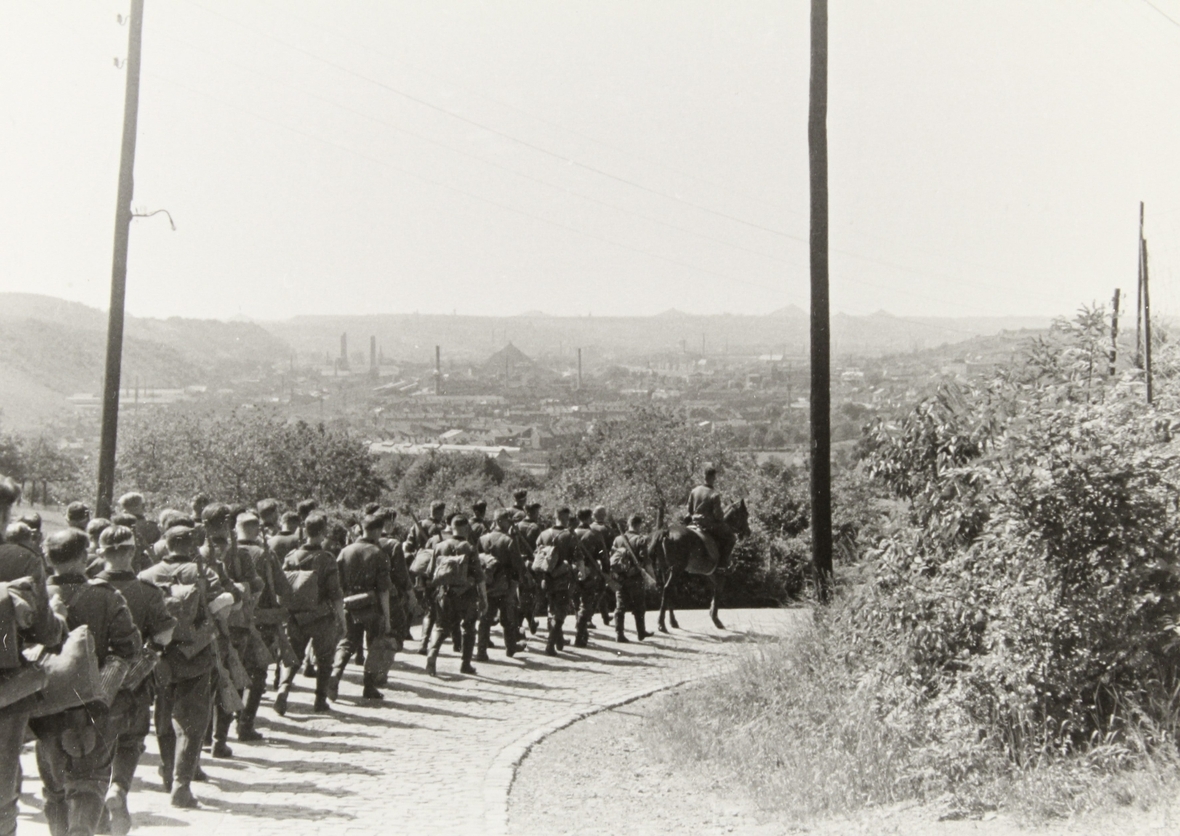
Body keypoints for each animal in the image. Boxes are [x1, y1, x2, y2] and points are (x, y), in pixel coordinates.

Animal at [651, 500, 750, 628]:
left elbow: (716, 591)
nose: (748, 532)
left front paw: (712, 614)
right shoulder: (720, 575)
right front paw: (715, 618)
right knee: (668, 589)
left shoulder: (712, 574)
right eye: (745, 515)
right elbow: (718, 592)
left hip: (666, 569)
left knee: (669, 590)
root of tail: (666, 532)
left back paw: (672, 621)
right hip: (676, 569)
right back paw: (661, 623)